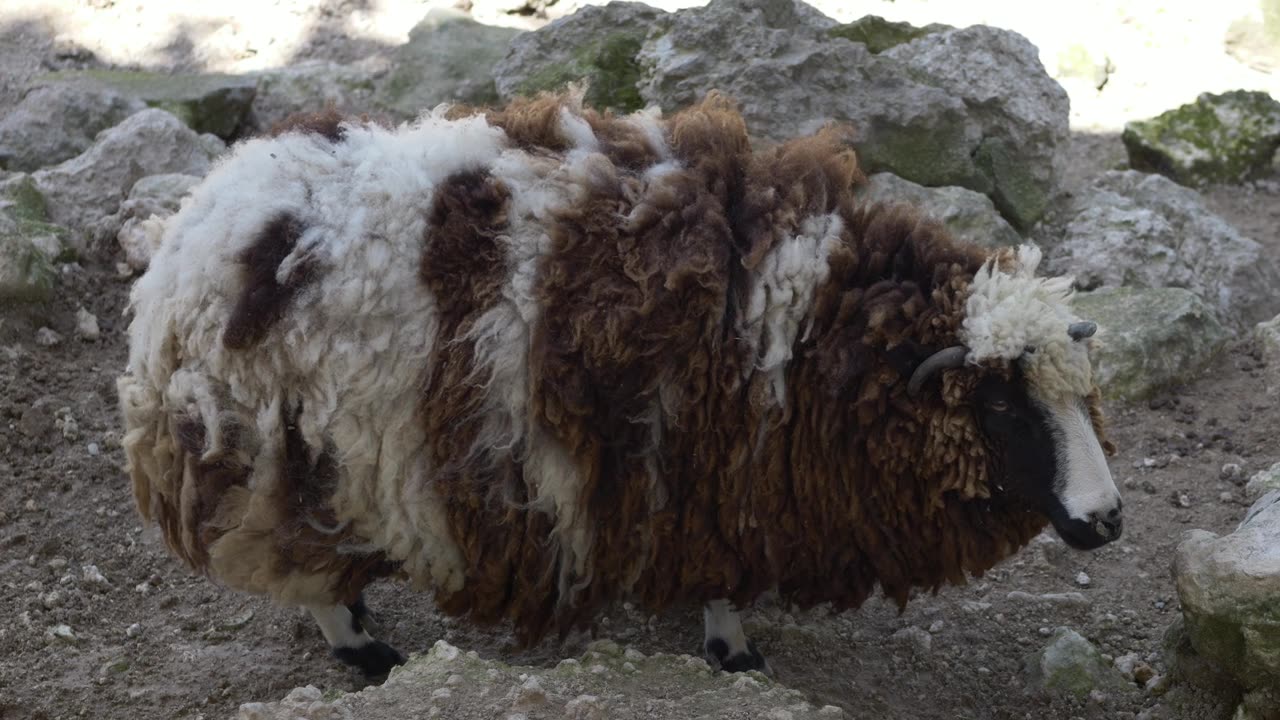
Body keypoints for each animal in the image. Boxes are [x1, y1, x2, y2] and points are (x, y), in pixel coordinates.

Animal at [116, 92, 1123, 678]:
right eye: (1002, 403)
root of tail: (189, 236)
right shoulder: (713, 473)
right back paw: (365, 649)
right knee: (308, 571)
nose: (1107, 518)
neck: (813, 322)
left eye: (1083, 399)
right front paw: (733, 653)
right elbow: (724, 582)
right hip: (284, 456)